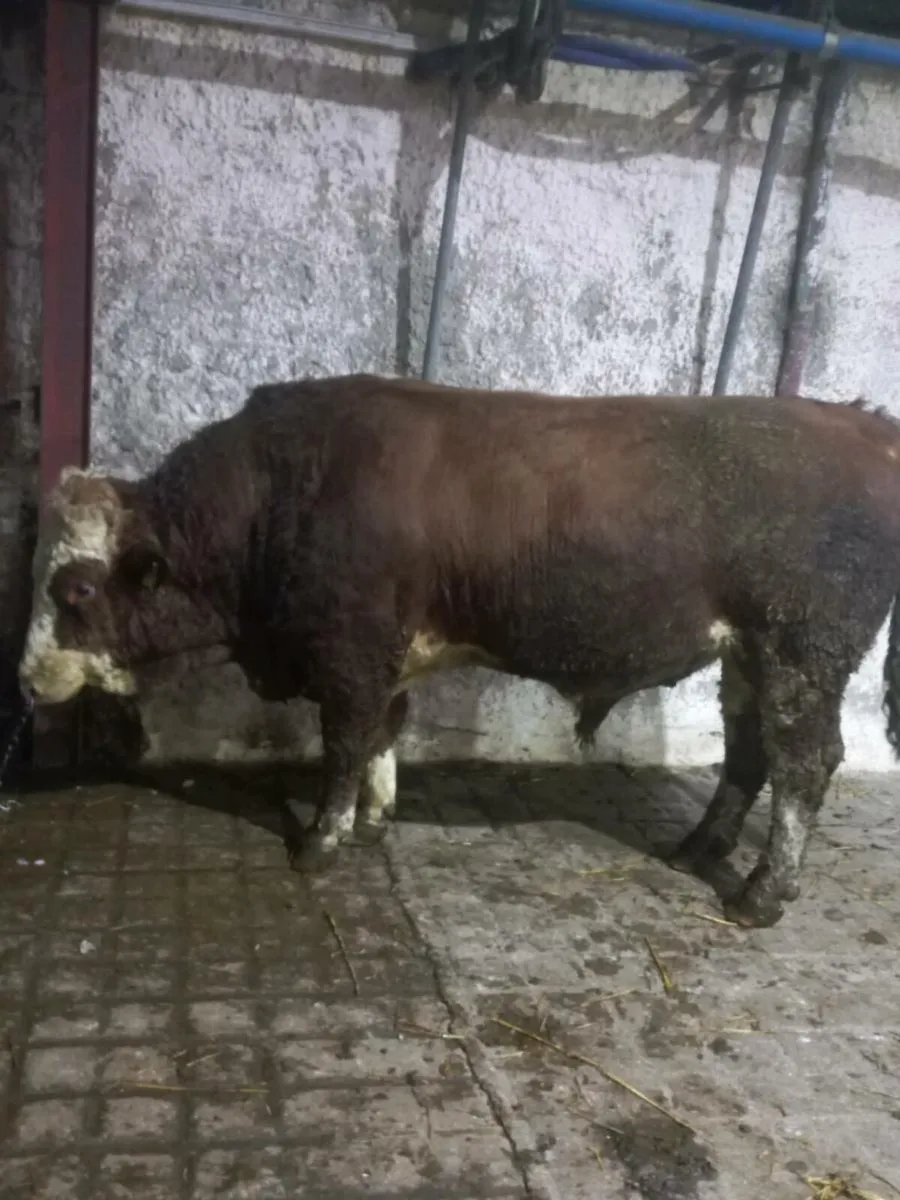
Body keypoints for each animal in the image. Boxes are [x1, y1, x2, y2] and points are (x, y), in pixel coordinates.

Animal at [18, 375, 900, 928]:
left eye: (78, 591)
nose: (26, 679)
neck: (281, 492)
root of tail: (861, 424)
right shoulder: (385, 658)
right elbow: (383, 732)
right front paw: (374, 822)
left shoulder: (349, 653)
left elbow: (343, 744)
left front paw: (321, 841)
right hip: (749, 655)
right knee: (750, 753)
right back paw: (696, 851)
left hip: (802, 650)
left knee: (804, 762)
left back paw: (761, 894)